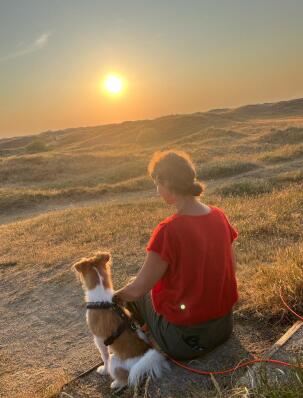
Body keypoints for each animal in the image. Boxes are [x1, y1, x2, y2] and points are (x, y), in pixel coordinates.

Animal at [72, 252, 170, 388]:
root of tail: (145, 354)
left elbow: (104, 356)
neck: (103, 300)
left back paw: (115, 383)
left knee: (125, 379)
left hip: (115, 361)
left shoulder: (99, 339)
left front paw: (103, 369)